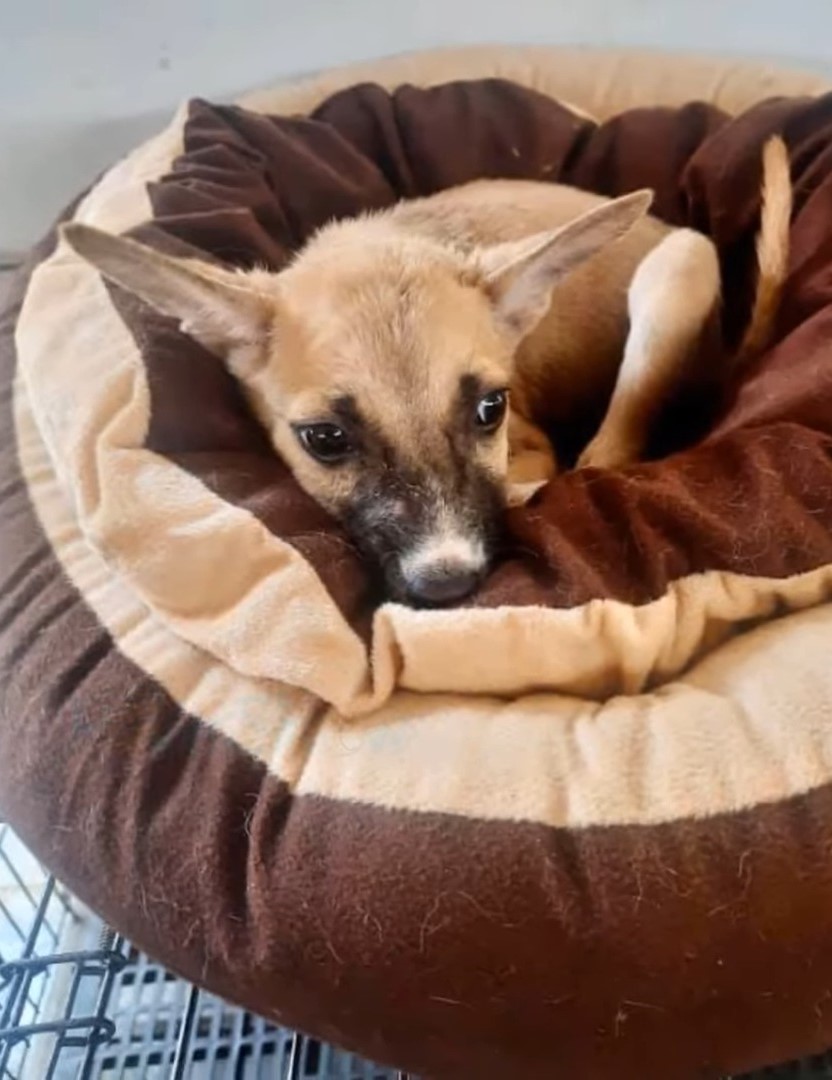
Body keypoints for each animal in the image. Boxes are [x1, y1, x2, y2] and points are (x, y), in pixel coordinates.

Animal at [61, 135, 786, 604]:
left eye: (491, 408)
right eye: (324, 439)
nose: (450, 585)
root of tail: (727, 349)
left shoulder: (530, 446)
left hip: (680, 265)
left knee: (605, 455)